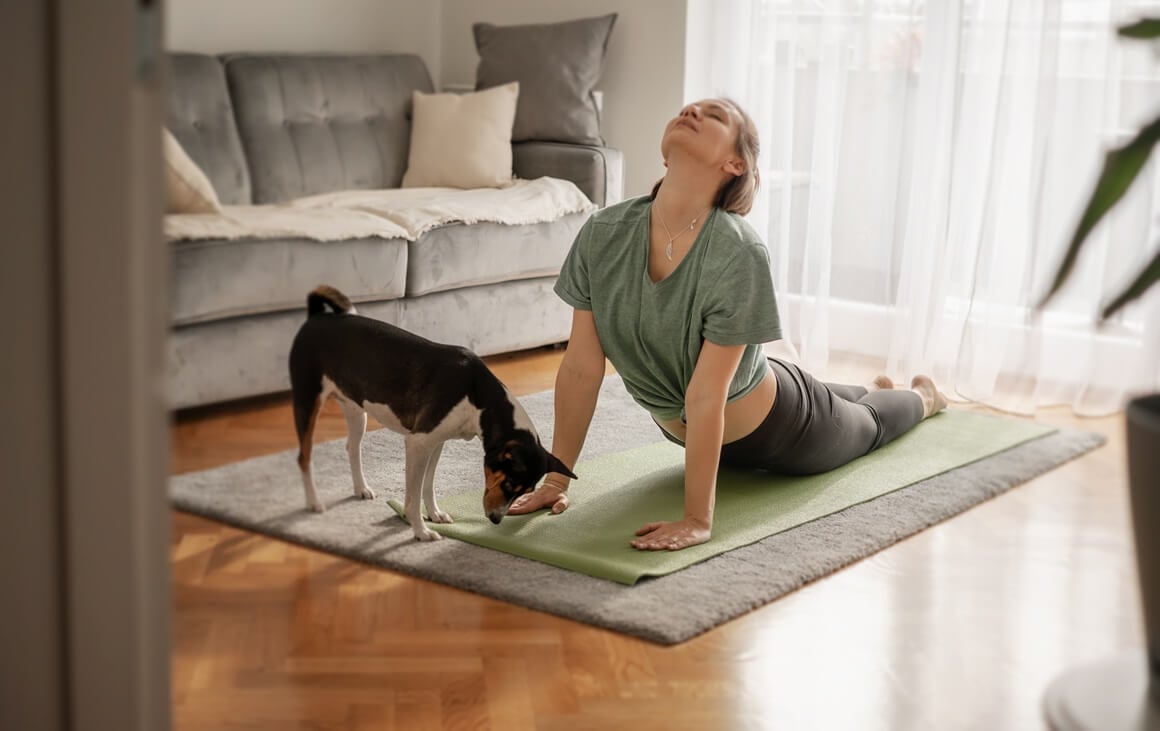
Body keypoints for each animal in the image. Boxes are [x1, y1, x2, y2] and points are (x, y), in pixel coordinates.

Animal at [286, 286, 575, 545]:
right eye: (509, 483)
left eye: (526, 491)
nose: (495, 519)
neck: (477, 398)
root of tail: (317, 317)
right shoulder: (419, 442)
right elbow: (413, 497)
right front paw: (420, 532)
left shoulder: (436, 442)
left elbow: (428, 484)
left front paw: (434, 515)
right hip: (307, 399)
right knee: (303, 457)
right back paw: (314, 503)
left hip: (356, 409)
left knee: (351, 447)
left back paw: (361, 489)